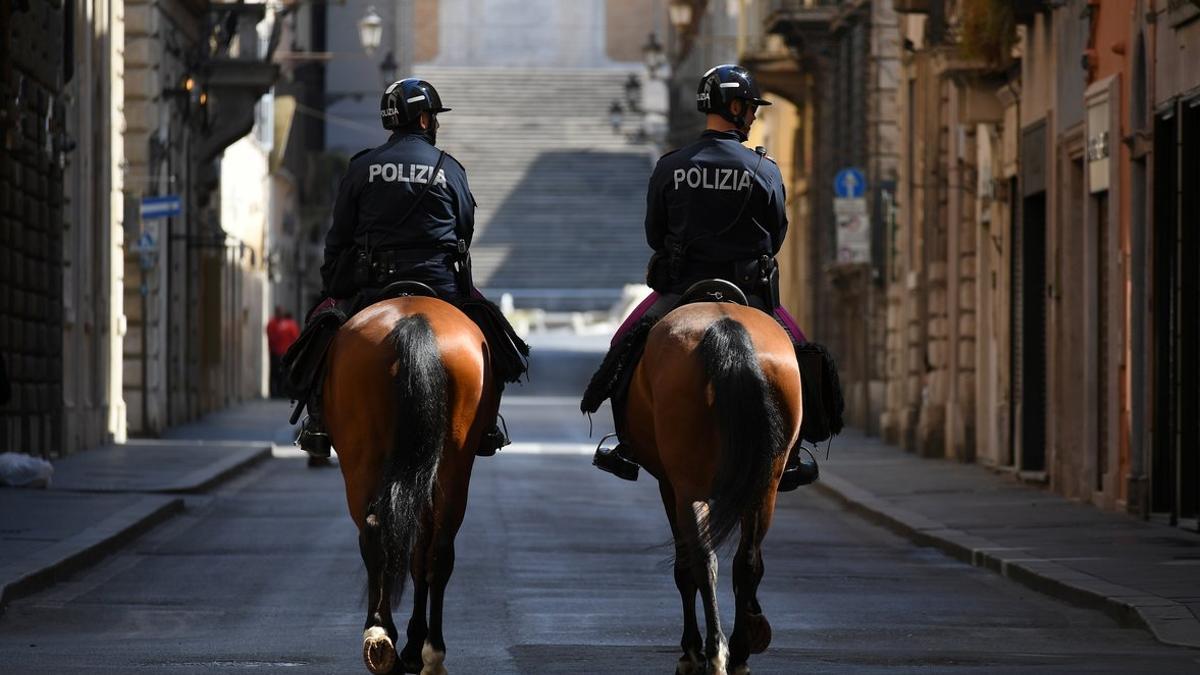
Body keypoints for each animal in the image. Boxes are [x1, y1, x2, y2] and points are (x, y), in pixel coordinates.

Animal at [321, 295, 494, 672]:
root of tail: (415, 319)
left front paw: (409, 643)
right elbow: (420, 557)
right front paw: (414, 643)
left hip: (362, 460)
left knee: (377, 533)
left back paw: (385, 639)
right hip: (452, 461)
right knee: (437, 549)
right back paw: (420, 650)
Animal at [624, 300, 801, 672]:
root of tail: (726, 326)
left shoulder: (668, 485)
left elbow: (684, 566)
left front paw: (690, 651)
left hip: (687, 484)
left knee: (701, 560)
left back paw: (708, 652)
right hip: (764, 486)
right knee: (745, 562)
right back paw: (737, 653)